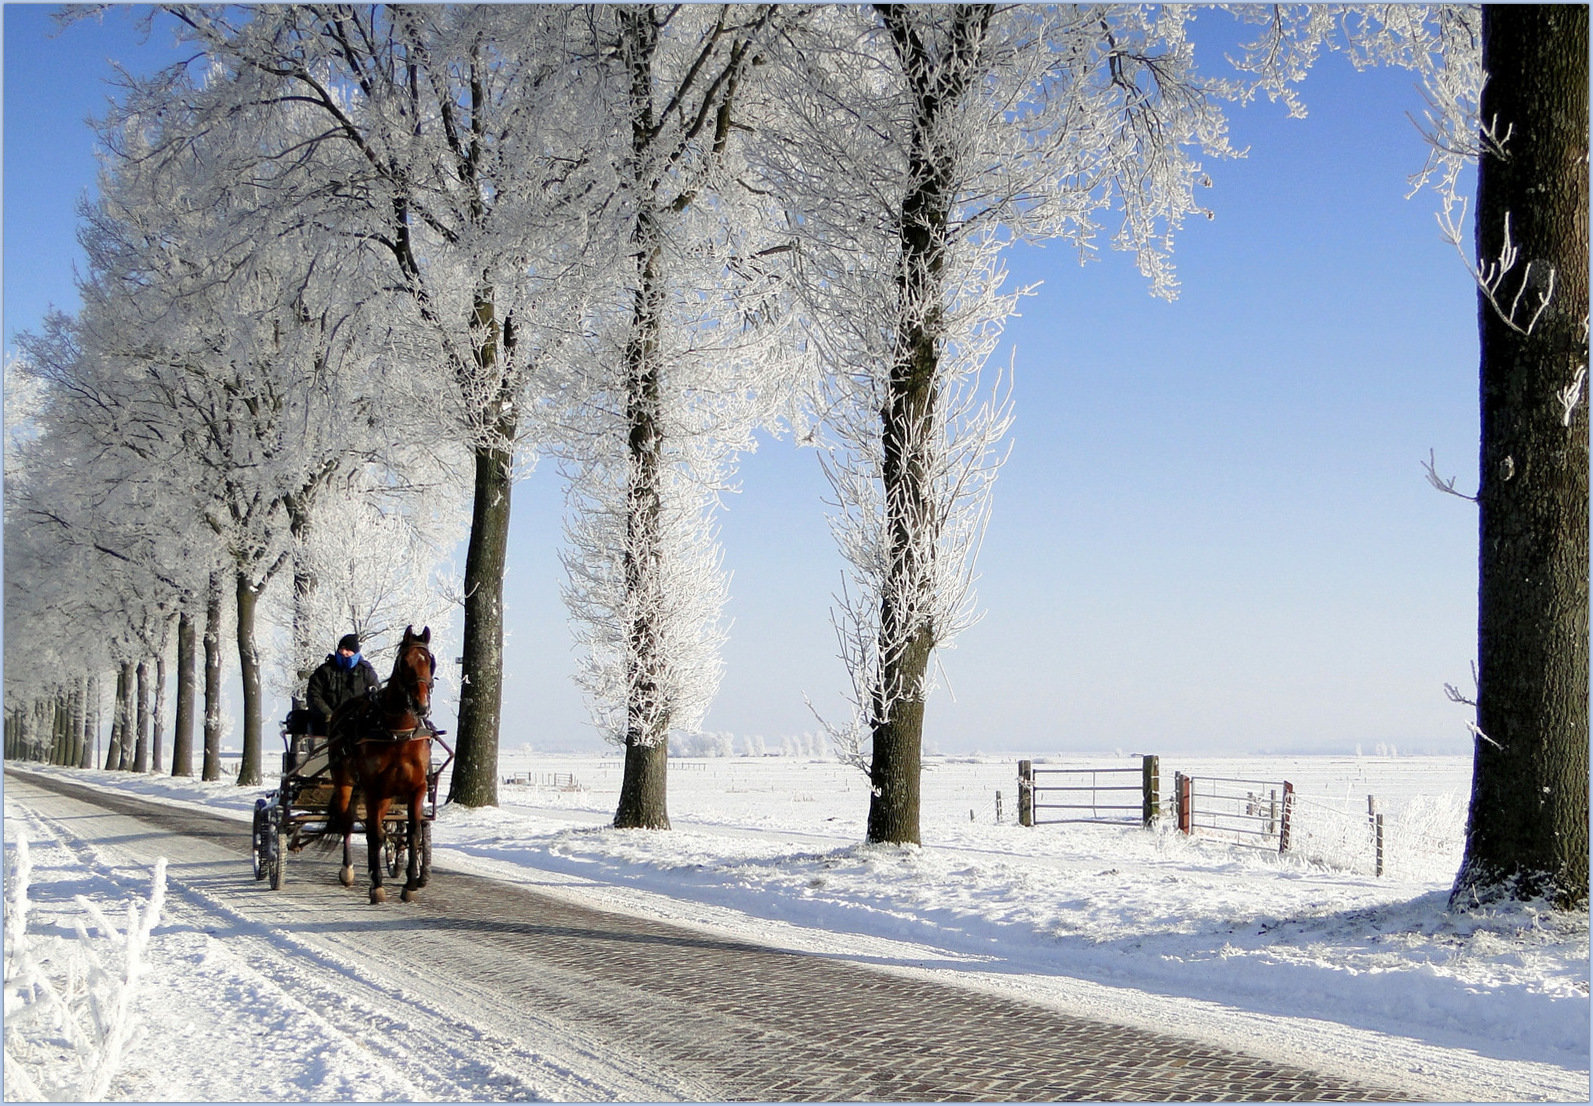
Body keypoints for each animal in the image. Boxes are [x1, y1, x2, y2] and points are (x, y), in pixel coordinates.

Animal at [324, 627, 436, 905]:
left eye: (430, 661)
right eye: (405, 662)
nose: (421, 705)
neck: (398, 733)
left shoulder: (416, 788)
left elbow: (413, 833)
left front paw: (411, 884)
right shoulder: (373, 789)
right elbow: (374, 835)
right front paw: (376, 885)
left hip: (386, 794)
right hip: (345, 781)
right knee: (348, 822)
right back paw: (349, 871)